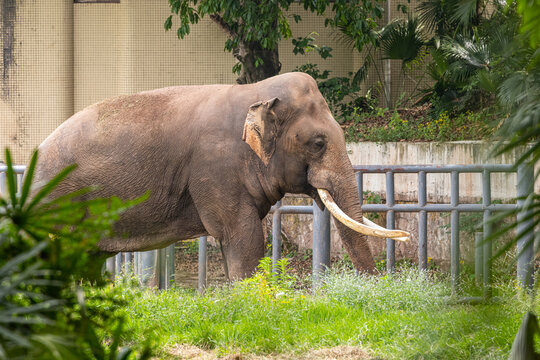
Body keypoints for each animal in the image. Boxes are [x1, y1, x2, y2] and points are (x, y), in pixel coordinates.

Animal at [33, 72, 408, 278]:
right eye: (318, 143)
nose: (376, 290)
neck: (255, 92)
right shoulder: (215, 169)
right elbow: (243, 237)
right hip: (60, 205)